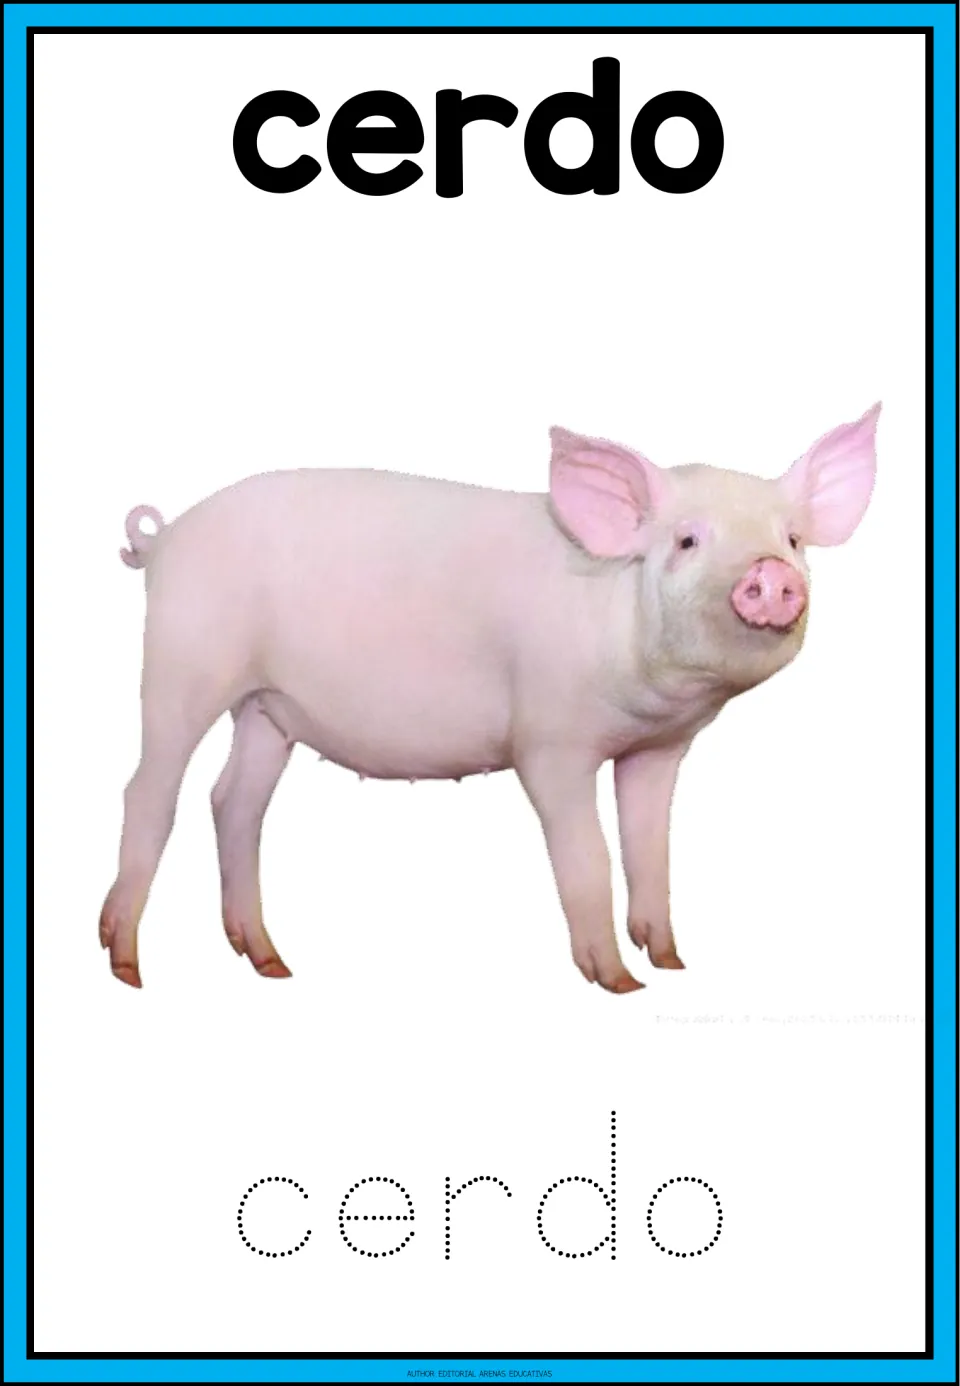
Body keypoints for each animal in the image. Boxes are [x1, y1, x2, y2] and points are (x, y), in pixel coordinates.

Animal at [99, 405, 880, 991]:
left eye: (793, 538)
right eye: (688, 540)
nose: (772, 574)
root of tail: (164, 541)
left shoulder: (658, 749)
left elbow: (651, 850)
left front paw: (671, 961)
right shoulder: (550, 740)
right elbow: (590, 856)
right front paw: (621, 983)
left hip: (267, 705)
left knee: (234, 801)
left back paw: (271, 964)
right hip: (183, 659)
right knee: (151, 790)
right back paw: (129, 966)